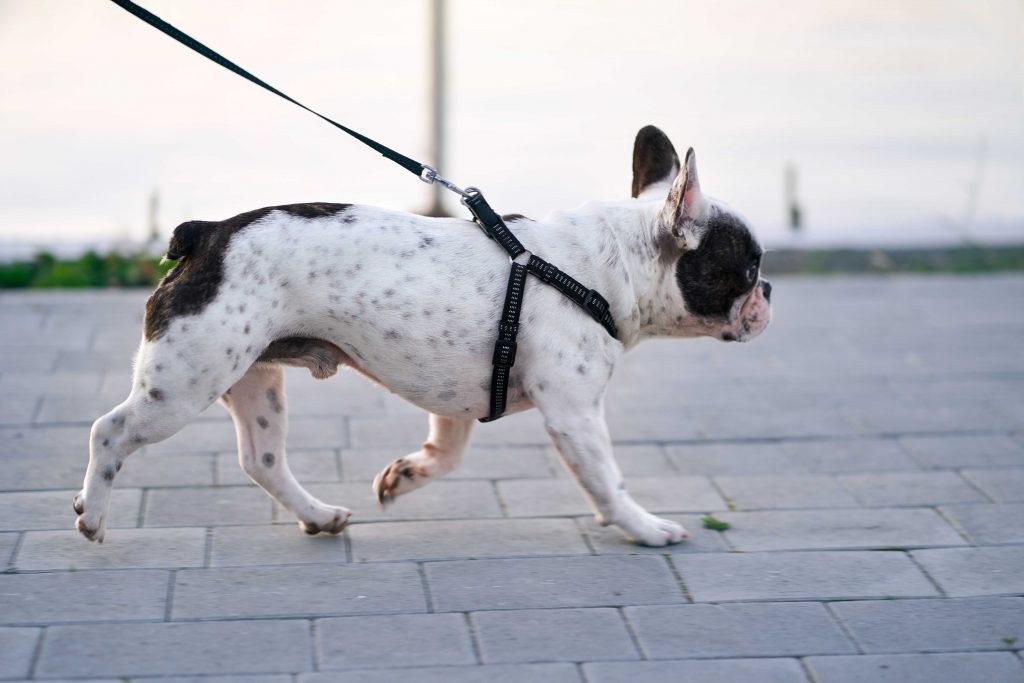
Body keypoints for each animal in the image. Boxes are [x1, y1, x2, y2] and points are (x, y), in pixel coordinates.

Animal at [75, 125, 770, 548]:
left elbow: (449, 451)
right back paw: (93, 515)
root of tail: (207, 232)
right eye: (748, 268)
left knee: (262, 460)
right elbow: (606, 477)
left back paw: (318, 515)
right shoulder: (575, 414)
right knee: (109, 430)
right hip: (184, 382)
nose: (769, 292)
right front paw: (643, 527)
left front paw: (407, 475)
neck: (604, 266)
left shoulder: (462, 393)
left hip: (252, 378)